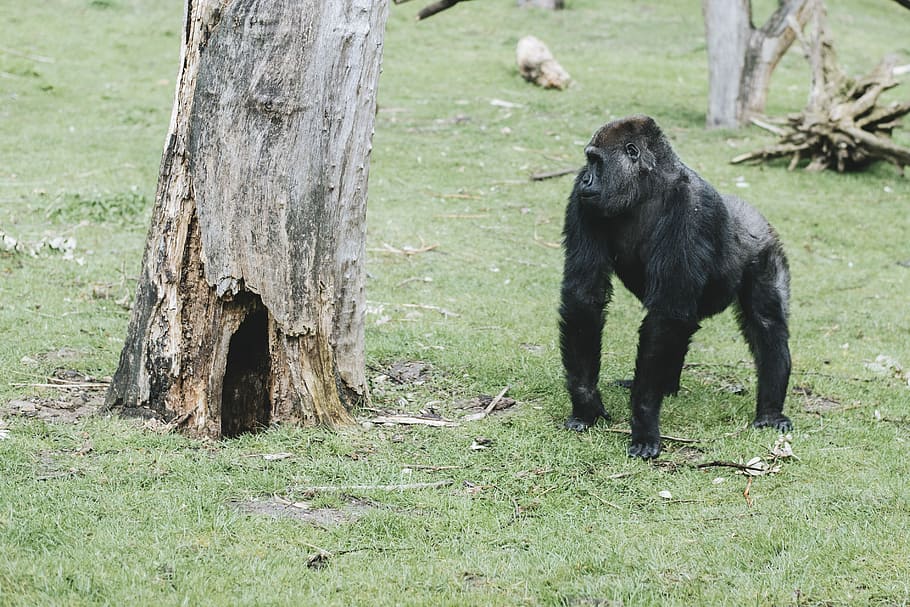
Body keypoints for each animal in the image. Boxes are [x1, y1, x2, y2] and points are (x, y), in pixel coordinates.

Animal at [559, 115, 792, 459]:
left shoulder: (691, 210)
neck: (648, 186)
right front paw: (586, 404)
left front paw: (643, 422)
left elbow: (667, 313)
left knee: (767, 324)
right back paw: (667, 386)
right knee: (681, 326)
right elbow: (584, 296)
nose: (586, 179)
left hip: (766, 247)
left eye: (596, 161)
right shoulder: (582, 200)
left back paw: (771, 410)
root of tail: (753, 214)